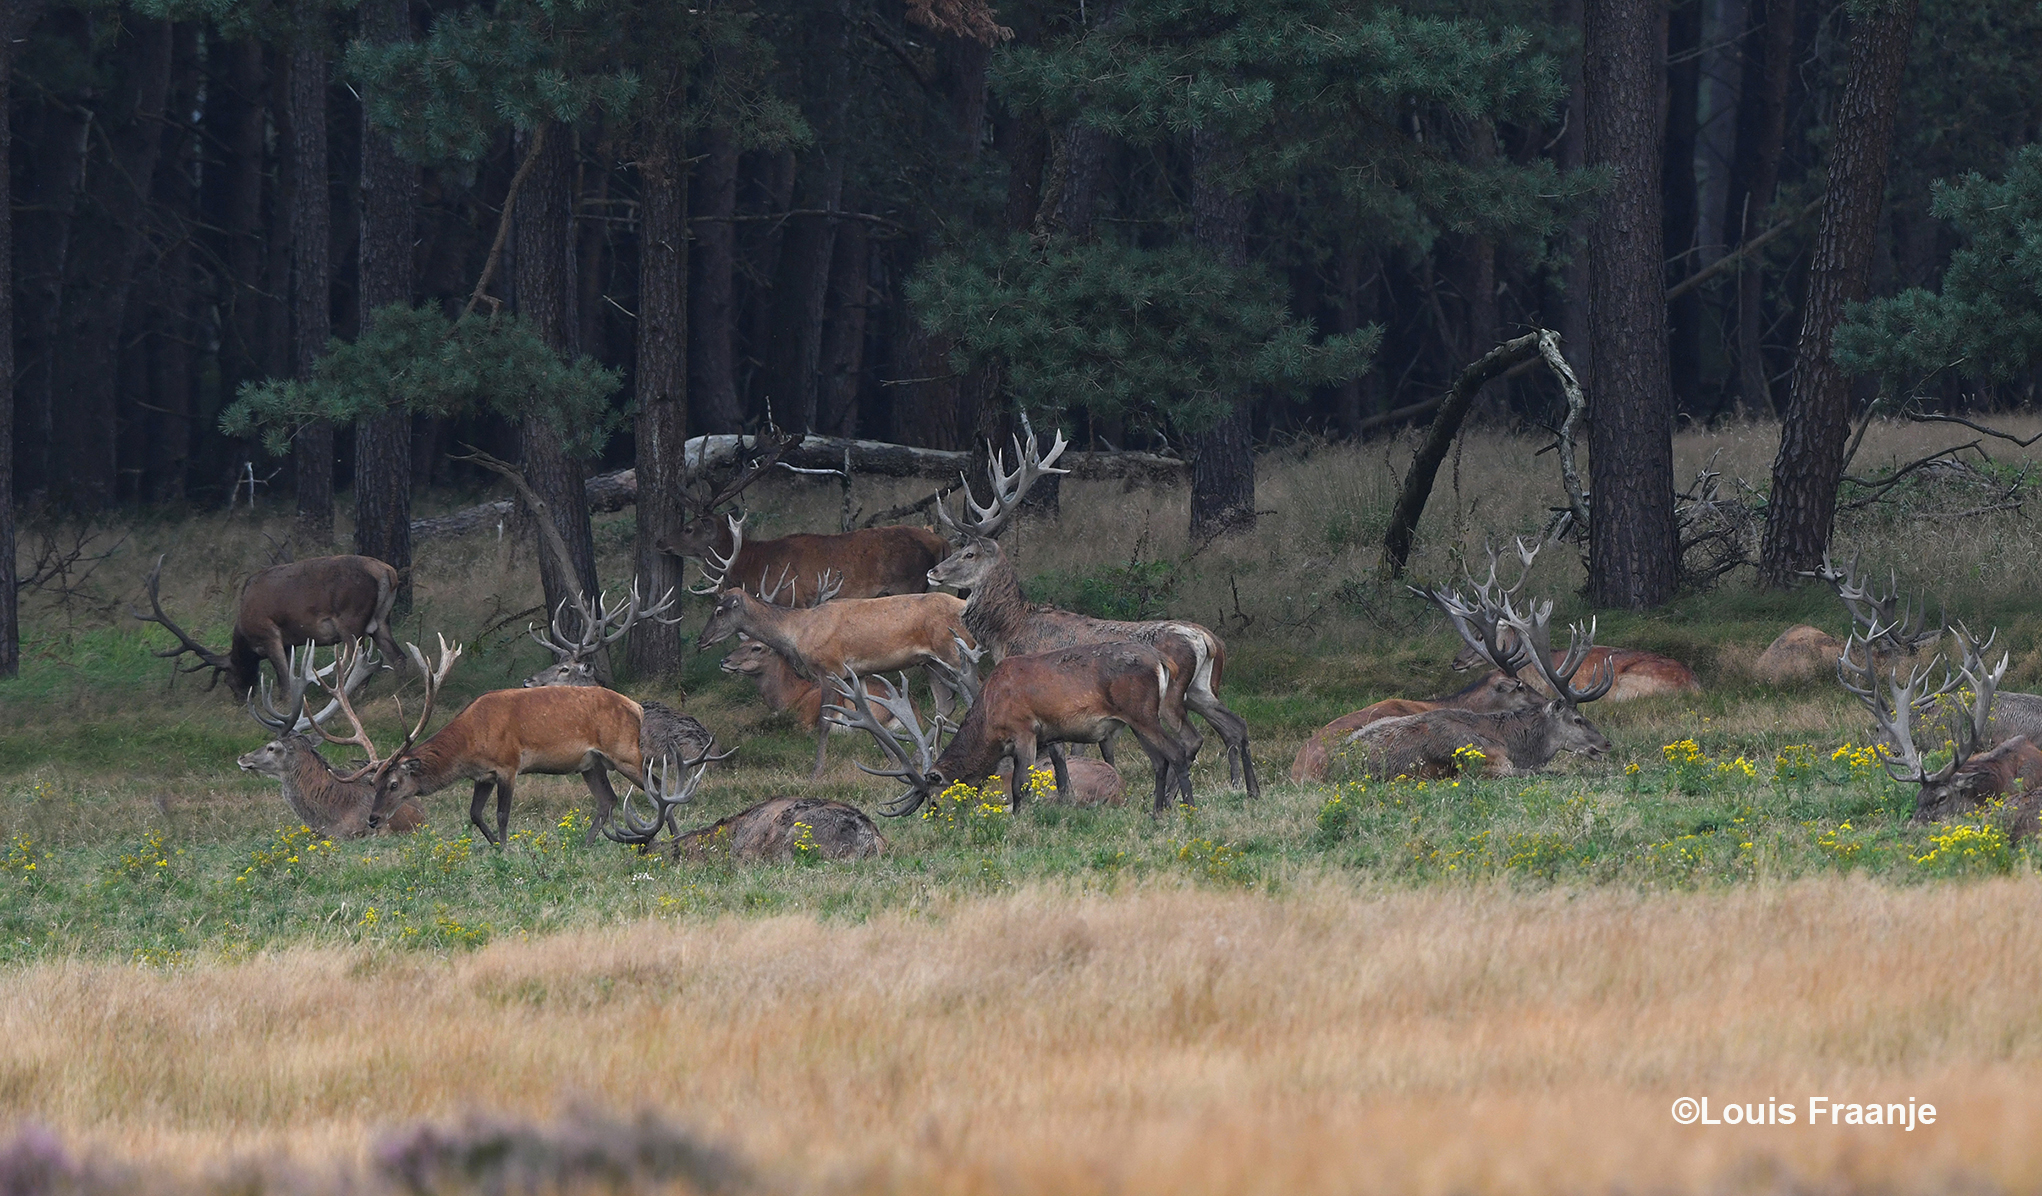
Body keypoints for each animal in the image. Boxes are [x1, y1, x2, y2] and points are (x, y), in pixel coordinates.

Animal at [931, 424, 1257, 795]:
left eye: (969, 553)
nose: (933, 572)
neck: (1010, 630)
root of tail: (1208, 639)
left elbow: (1060, 754)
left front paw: (1066, 794)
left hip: (1173, 696)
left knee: (1192, 739)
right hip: (1200, 690)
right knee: (1234, 726)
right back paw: (1247, 788)